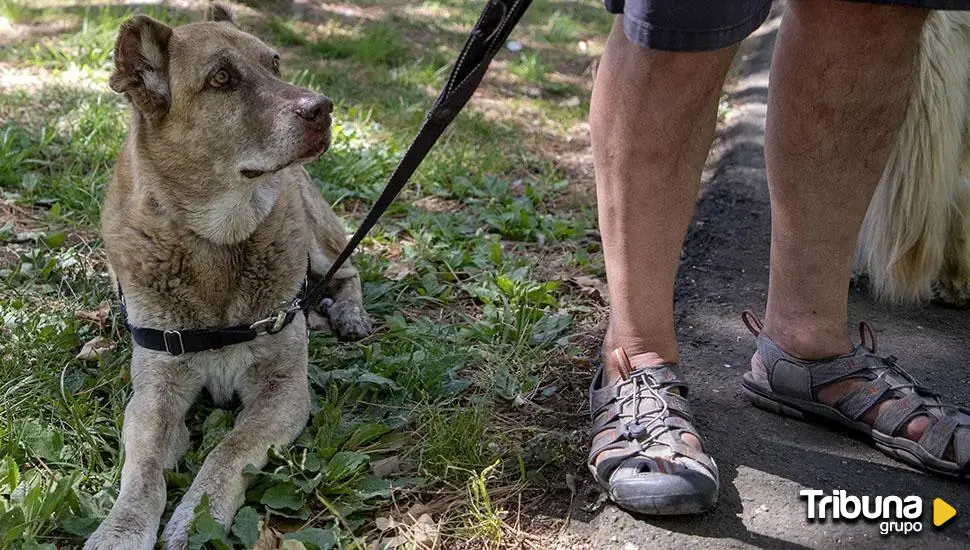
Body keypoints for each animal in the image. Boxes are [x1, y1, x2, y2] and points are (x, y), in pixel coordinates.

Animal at [85, 5, 370, 550]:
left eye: (274, 63)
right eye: (221, 79)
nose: (323, 108)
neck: (215, 242)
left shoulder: (284, 391)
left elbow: (229, 449)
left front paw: (198, 515)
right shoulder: (154, 395)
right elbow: (143, 470)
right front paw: (121, 528)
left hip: (316, 231)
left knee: (348, 269)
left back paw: (347, 313)